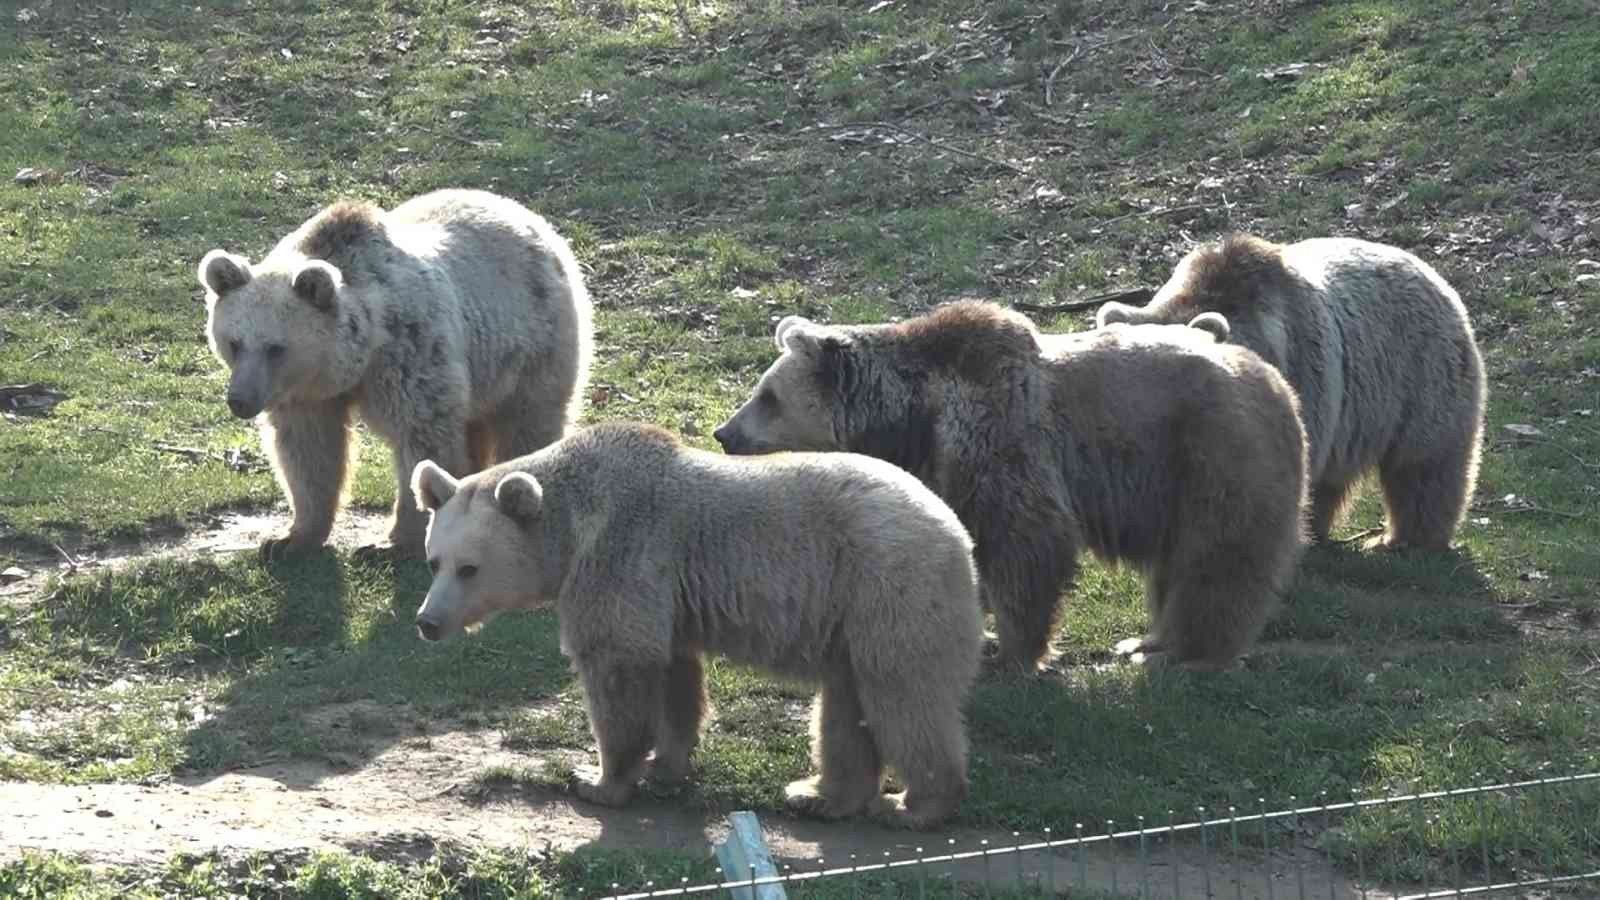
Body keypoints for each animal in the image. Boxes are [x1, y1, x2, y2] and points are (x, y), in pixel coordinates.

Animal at [196, 186, 592, 557]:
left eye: (276, 348)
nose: (240, 400)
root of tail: (529, 216)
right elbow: (309, 453)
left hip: (532, 345)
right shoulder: (306, 397)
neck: (361, 353)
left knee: (529, 423)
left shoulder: (412, 356)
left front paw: (392, 542)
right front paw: (289, 539)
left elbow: (420, 441)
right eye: (234, 343)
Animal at [406, 419, 979, 826]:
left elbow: (617, 666)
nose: (428, 621)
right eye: (434, 561)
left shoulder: (622, 555)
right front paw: (667, 763)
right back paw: (820, 794)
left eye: (469, 568)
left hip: (886, 588)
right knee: (846, 705)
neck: (570, 528)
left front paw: (597, 778)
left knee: (903, 693)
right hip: (851, 617)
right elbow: (673, 675)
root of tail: (956, 534)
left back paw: (917, 804)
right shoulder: (669, 597)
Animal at [720, 301, 1305, 672]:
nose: (724, 433)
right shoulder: (940, 468)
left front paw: (1014, 650)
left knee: (1216, 562)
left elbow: (1021, 539)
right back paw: (1147, 637)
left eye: (768, 396)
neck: (914, 418)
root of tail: (1276, 382)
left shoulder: (996, 433)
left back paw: (1185, 652)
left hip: (1213, 456)